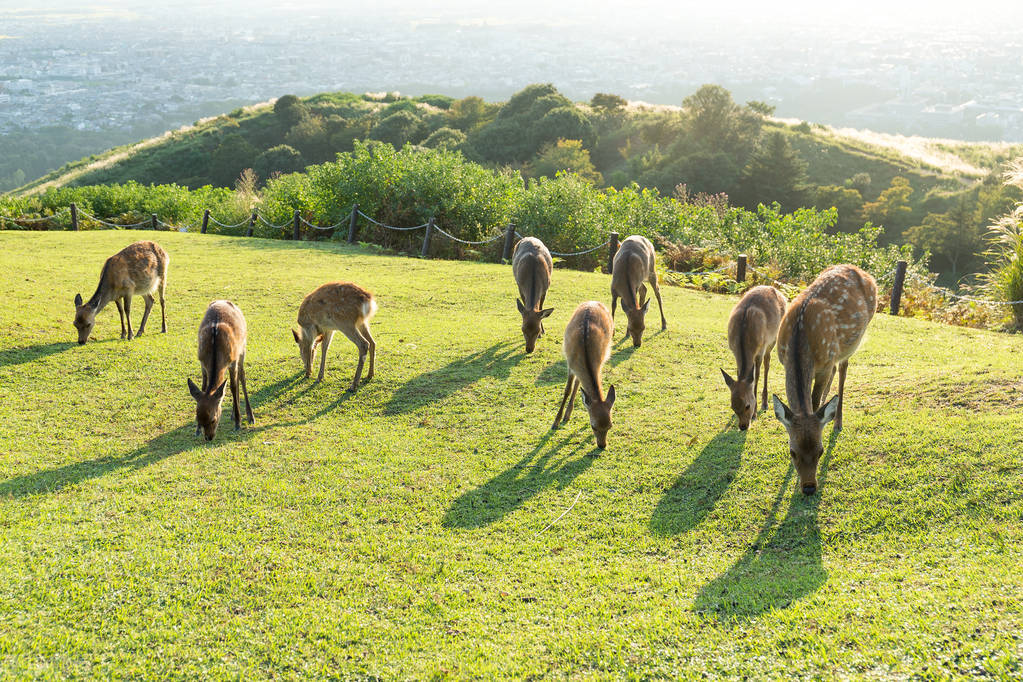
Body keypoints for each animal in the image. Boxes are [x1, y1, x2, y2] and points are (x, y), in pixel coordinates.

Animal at [188, 300, 253, 439]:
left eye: (213, 419)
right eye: (198, 418)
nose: (209, 438)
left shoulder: (232, 360)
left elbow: (233, 387)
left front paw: (238, 424)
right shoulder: (202, 362)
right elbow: (203, 387)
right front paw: (197, 431)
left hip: (242, 347)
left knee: (241, 377)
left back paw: (249, 416)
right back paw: (233, 414)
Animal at [552, 300, 613, 449]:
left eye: (610, 426)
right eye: (593, 426)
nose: (602, 445)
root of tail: (593, 301)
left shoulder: (600, 363)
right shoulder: (570, 364)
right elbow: (567, 390)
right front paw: (555, 422)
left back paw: (568, 414)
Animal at [720, 286, 789, 429]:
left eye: (748, 405)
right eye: (732, 407)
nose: (743, 426)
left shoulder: (760, 350)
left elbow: (756, 377)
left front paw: (755, 414)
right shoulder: (734, 351)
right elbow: (739, 372)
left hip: (774, 338)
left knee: (767, 363)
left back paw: (765, 403)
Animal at [769, 263, 875, 496]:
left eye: (821, 450)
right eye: (792, 452)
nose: (809, 487)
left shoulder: (825, 364)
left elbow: (814, 400)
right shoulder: (784, 360)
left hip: (850, 344)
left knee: (843, 368)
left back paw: (837, 421)